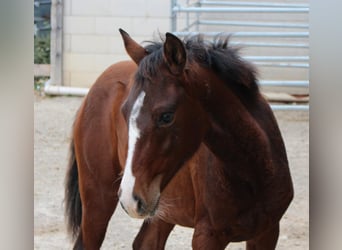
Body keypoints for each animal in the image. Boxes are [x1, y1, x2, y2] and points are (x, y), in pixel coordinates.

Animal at [65, 28, 294, 248]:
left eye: (166, 116)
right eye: (124, 111)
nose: (130, 198)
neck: (253, 174)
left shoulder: (267, 232)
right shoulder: (207, 237)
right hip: (99, 199)